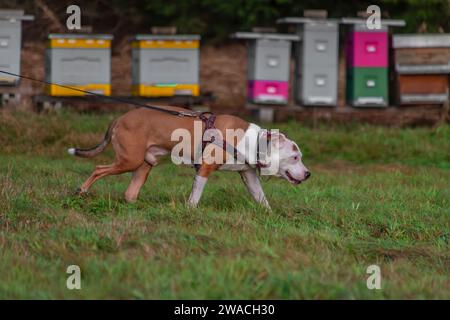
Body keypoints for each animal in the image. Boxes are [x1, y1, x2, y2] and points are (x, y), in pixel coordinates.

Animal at [68, 106, 312, 209]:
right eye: (295, 157)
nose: (309, 174)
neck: (254, 142)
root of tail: (119, 118)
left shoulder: (249, 175)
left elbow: (261, 198)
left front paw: (269, 215)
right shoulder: (204, 169)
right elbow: (195, 195)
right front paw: (190, 210)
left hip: (145, 163)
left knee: (130, 193)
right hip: (129, 160)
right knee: (99, 169)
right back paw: (81, 191)